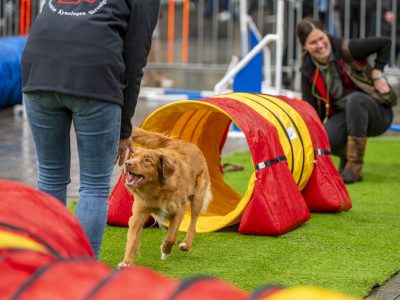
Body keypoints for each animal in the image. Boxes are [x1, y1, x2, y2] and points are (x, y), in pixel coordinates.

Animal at [117, 126, 212, 268]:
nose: (127, 163)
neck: (156, 189)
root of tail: (180, 142)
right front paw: (127, 262)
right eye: (132, 156)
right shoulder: (138, 214)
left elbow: (171, 236)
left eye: (147, 160)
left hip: (197, 197)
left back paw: (186, 243)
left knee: (193, 223)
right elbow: (132, 240)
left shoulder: (179, 209)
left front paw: (165, 250)